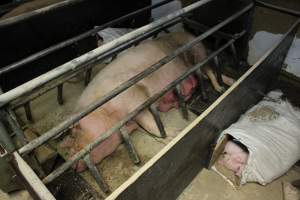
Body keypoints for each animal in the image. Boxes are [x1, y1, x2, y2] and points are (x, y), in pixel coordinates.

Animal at [62, 31, 236, 172]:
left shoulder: (136, 97)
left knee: (210, 71)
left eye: (72, 135)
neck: (102, 108)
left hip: (197, 53)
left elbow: (151, 124)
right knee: (209, 73)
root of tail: (186, 33)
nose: (71, 166)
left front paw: (176, 133)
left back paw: (222, 87)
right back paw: (228, 83)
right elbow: (149, 125)